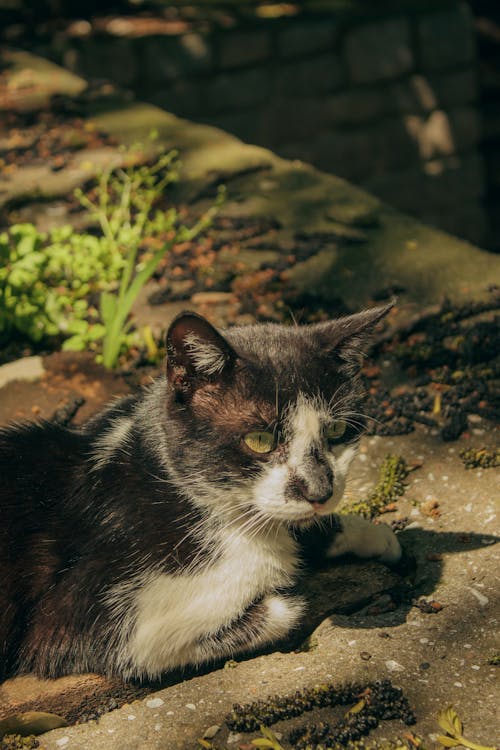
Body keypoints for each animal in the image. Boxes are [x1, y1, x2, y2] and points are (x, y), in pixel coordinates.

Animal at [0, 308, 398, 684]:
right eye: (259, 440)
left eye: (337, 430)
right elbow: (281, 609)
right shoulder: (94, 620)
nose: (320, 491)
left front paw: (377, 535)